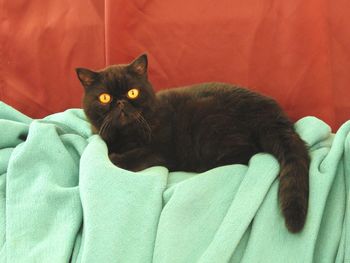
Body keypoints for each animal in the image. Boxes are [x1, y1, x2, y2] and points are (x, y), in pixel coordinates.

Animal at [76, 53, 308, 233]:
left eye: (133, 92)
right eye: (105, 98)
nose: (121, 102)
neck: (125, 134)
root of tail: (272, 113)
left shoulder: (159, 152)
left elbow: (133, 156)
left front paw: (116, 158)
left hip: (209, 126)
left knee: (245, 154)